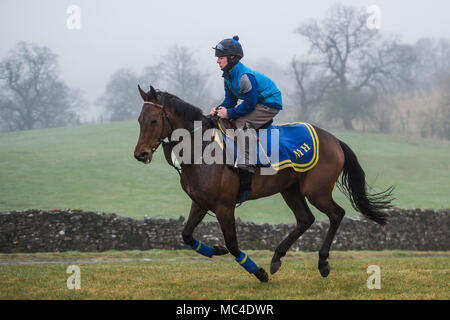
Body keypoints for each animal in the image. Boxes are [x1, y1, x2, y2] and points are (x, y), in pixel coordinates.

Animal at [134, 85, 394, 282]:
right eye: (139, 120)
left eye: (154, 120)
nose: (140, 155)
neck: (201, 149)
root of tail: (335, 139)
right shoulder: (200, 202)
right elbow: (186, 235)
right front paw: (215, 250)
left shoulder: (224, 206)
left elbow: (233, 245)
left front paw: (258, 273)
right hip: (290, 189)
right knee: (305, 219)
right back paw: (277, 258)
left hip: (316, 191)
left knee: (337, 214)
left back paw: (322, 262)